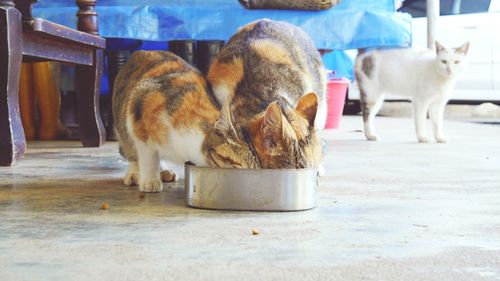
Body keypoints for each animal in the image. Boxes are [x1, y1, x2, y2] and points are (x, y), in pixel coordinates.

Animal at [114, 50, 260, 191]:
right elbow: (148, 155)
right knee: (130, 148)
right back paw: (134, 173)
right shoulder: (139, 108)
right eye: (238, 166)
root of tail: (142, 51)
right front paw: (151, 181)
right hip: (123, 118)